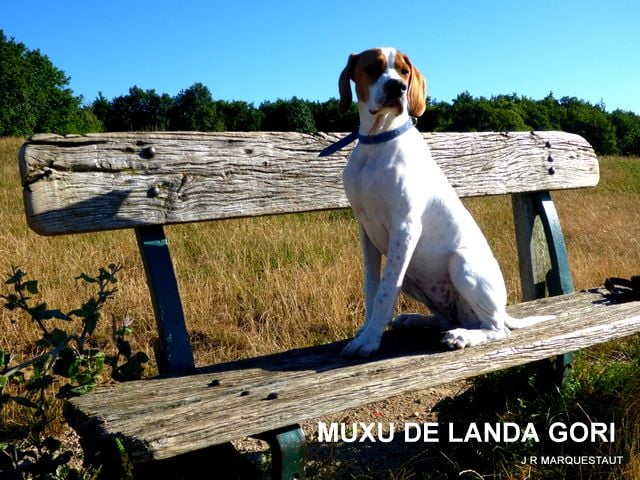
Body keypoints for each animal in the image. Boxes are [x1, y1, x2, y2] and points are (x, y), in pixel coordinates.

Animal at [338, 47, 552, 356]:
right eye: (372, 68)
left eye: (404, 72)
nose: (397, 88)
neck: (378, 140)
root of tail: (504, 309)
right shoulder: (366, 231)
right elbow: (372, 286)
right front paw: (367, 330)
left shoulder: (405, 227)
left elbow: (386, 292)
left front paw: (369, 340)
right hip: (415, 279)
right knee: (447, 318)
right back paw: (413, 319)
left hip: (461, 263)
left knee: (496, 329)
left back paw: (462, 336)